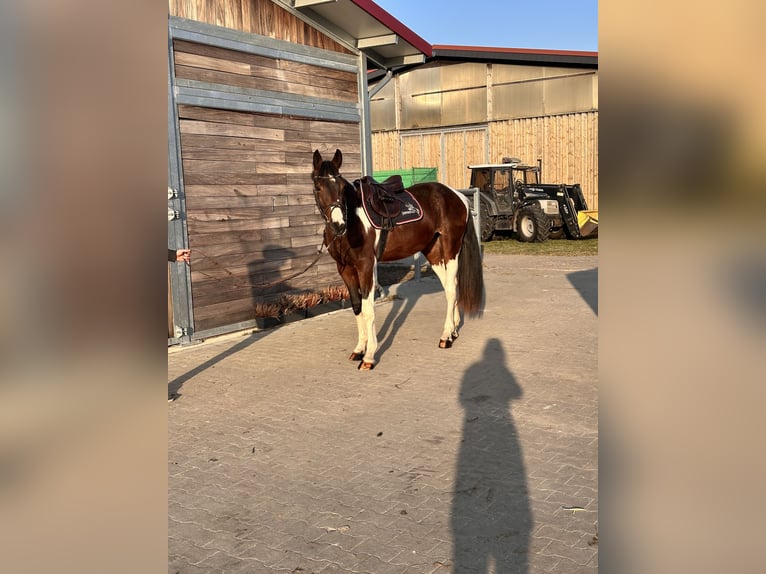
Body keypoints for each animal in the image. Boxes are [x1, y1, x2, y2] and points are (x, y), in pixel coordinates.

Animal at [312, 149, 484, 370]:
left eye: (341, 188)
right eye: (318, 187)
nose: (338, 224)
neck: (353, 222)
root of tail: (458, 196)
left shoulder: (366, 266)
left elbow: (368, 309)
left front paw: (369, 356)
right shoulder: (345, 269)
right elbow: (357, 306)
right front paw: (359, 349)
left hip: (451, 250)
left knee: (452, 290)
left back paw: (445, 336)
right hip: (434, 252)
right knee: (450, 286)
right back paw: (453, 331)